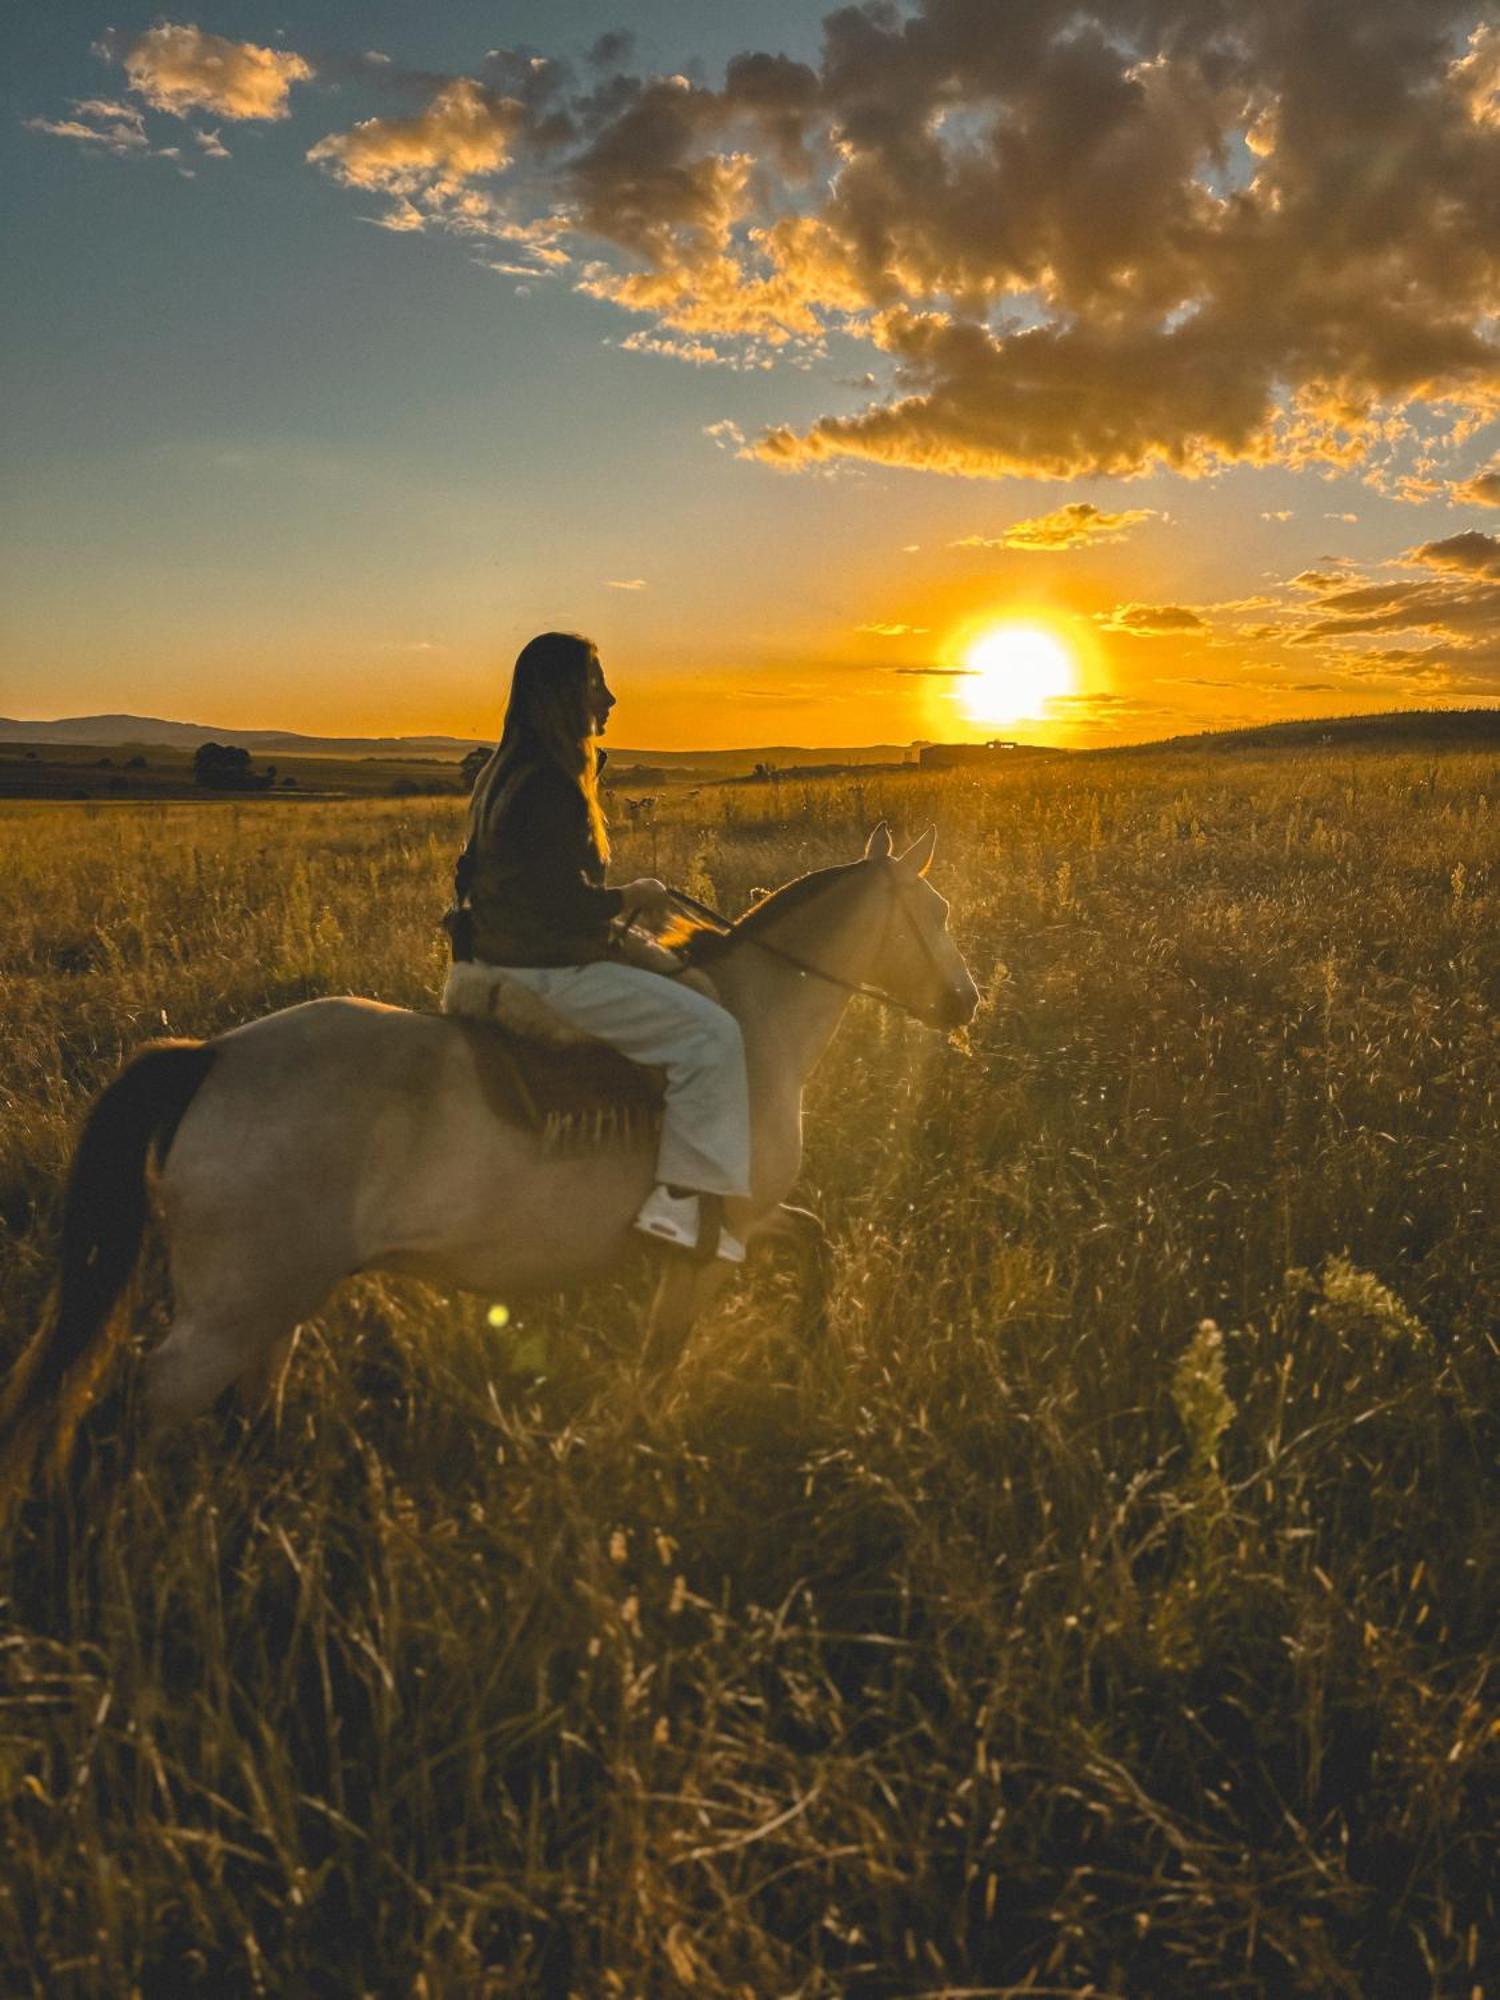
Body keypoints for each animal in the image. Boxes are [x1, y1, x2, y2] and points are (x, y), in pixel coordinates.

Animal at [0, 824, 976, 1504]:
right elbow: (663, 1358)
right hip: (230, 1314)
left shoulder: (747, 1225)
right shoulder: (710, 1242)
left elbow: (817, 1246)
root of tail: (209, 1056)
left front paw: (812, 1354)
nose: (966, 1001)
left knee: (249, 1409)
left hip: (275, 1302)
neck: (754, 1024)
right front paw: (635, 1454)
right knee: (149, 1409)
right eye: (935, 916)